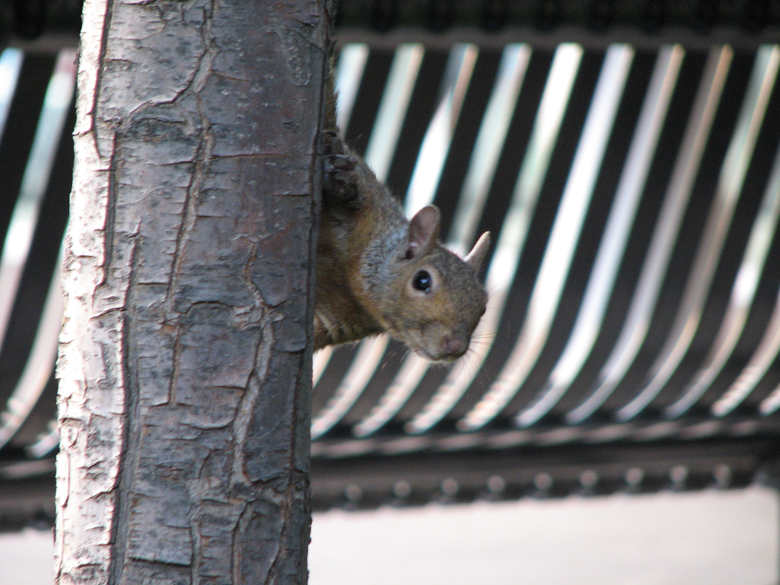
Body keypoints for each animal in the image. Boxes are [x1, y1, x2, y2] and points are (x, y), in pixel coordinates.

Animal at [316, 60, 490, 360]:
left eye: (484, 306)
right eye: (422, 281)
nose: (456, 346)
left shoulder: (336, 323)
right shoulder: (371, 205)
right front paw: (340, 179)